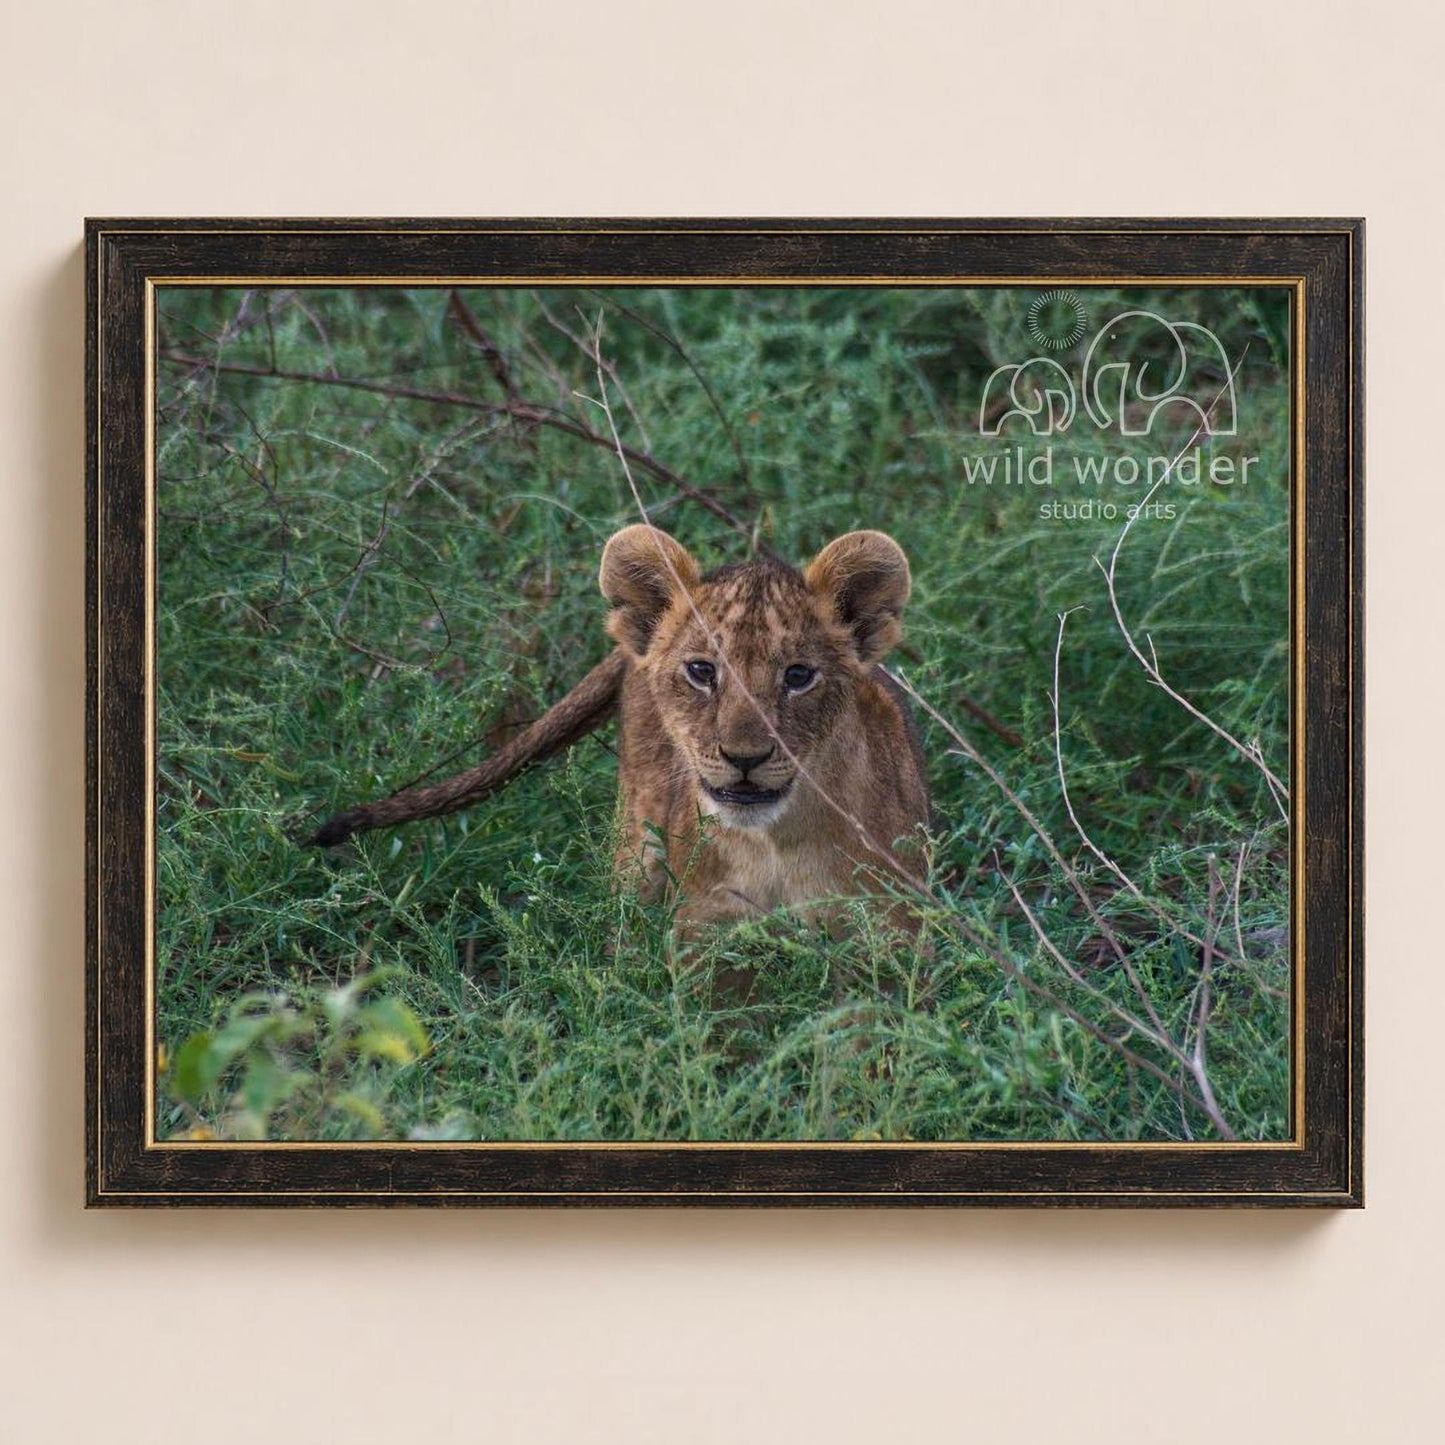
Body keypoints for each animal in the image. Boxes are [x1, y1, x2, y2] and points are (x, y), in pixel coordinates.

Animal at [312, 526, 930, 931]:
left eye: (799, 676)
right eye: (701, 671)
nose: (744, 757)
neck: (777, 841)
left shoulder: (895, 928)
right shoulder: (704, 927)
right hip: (635, 844)